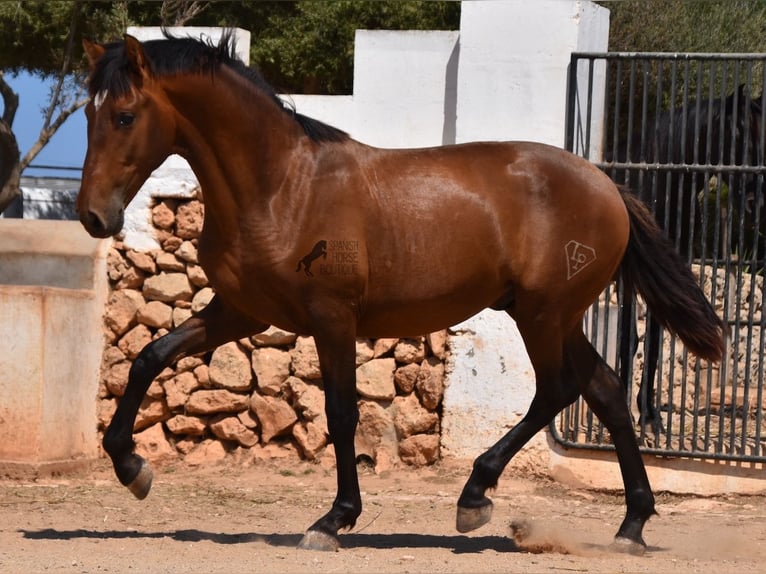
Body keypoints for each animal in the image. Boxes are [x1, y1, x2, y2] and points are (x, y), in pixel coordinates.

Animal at [78, 32, 728, 560]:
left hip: (544, 314)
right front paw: (130, 466)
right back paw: (631, 525)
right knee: (607, 391)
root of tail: (608, 185)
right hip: (556, 317)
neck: (281, 186)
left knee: (559, 389)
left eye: (125, 116)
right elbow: (148, 358)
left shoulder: (331, 318)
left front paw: (334, 520)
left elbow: (341, 413)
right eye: (89, 113)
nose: (93, 216)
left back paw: (475, 496)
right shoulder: (239, 312)